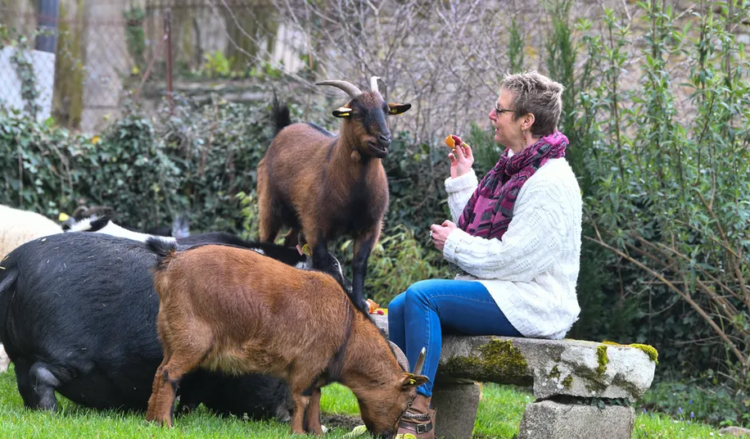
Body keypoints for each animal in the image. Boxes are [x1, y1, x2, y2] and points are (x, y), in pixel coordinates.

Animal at [0, 232, 346, 418]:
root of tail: (14, 265)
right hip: (72, 355)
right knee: (40, 374)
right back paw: (51, 412)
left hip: (22, 352)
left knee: (24, 377)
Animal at [145, 242, 428, 438]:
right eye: (408, 402)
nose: (387, 434)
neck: (348, 329)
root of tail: (171, 261)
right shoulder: (308, 363)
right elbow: (301, 398)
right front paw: (298, 432)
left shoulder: (317, 371)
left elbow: (316, 399)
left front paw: (316, 432)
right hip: (192, 340)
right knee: (170, 374)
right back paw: (166, 424)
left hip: (170, 337)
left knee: (159, 372)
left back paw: (150, 420)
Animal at [258, 76, 412, 312]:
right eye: (356, 113)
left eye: (386, 110)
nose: (384, 139)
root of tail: (284, 128)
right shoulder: (315, 224)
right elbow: (324, 262)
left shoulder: (371, 227)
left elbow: (359, 264)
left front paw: (360, 302)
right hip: (270, 207)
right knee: (266, 240)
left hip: (297, 219)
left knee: (288, 242)